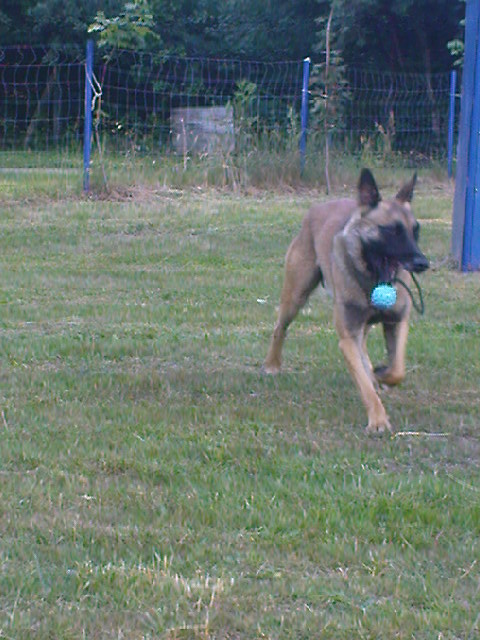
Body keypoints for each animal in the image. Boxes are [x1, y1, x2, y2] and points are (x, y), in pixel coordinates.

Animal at [263, 169, 429, 433]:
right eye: (391, 231)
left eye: (416, 231)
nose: (423, 263)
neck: (371, 279)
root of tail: (317, 207)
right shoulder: (348, 338)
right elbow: (365, 384)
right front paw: (378, 419)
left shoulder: (397, 322)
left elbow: (397, 369)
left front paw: (382, 374)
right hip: (295, 296)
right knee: (280, 327)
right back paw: (272, 364)